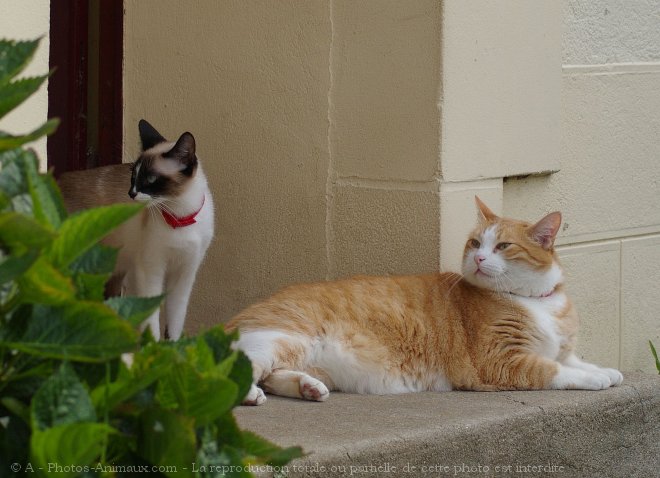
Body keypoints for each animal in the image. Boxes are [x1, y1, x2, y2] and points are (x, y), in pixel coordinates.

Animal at [58, 119, 214, 340]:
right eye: (133, 176)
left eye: (150, 179)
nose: (131, 194)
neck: (179, 217)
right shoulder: (151, 271)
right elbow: (152, 323)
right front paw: (153, 346)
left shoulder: (185, 274)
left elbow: (175, 323)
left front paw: (174, 348)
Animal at [227, 196, 624, 406]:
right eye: (475, 243)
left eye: (503, 246)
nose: (478, 258)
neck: (536, 302)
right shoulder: (499, 361)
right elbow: (555, 370)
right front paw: (594, 379)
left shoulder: (561, 349)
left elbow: (576, 360)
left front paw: (607, 371)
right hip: (279, 338)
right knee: (244, 369)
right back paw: (249, 394)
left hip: (298, 354)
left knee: (273, 376)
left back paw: (308, 388)